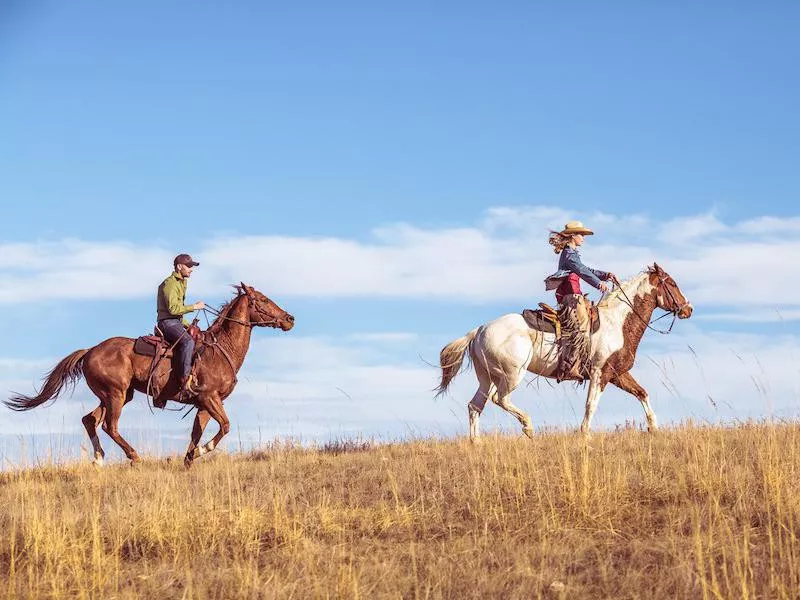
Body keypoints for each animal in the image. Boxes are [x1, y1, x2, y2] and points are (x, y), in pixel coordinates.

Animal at [6, 286, 294, 468]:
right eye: (263, 300)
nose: (289, 318)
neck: (220, 349)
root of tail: (91, 350)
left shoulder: (204, 404)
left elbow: (197, 433)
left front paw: (189, 459)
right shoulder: (209, 398)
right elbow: (224, 426)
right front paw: (201, 452)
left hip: (117, 395)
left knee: (90, 420)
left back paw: (99, 458)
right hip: (116, 394)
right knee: (109, 425)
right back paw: (133, 456)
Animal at [434, 264, 692, 440]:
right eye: (672, 283)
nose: (688, 309)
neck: (617, 322)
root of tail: (479, 330)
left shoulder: (616, 373)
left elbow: (642, 393)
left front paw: (653, 427)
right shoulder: (599, 373)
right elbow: (591, 404)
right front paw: (585, 434)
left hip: (487, 377)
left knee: (475, 406)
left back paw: (476, 442)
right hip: (511, 374)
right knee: (501, 399)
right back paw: (528, 427)